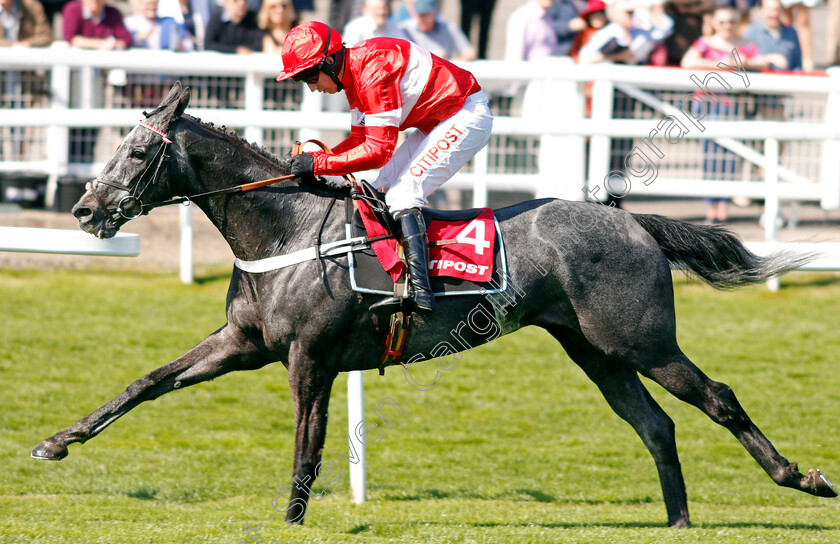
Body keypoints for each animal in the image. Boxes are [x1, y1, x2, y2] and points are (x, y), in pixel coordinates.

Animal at [31, 82, 832, 528]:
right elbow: (146, 383)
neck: (285, 227)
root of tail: (630, 219)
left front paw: (291, 519)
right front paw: (56, 442)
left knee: (718, 398)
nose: (84, 208)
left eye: (138, 154)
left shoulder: (310, 358)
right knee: (656, 425)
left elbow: (308, 443)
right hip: (594, 350)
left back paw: (802, 477)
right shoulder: (244, 346)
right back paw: (679, 520)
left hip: (641, 342)